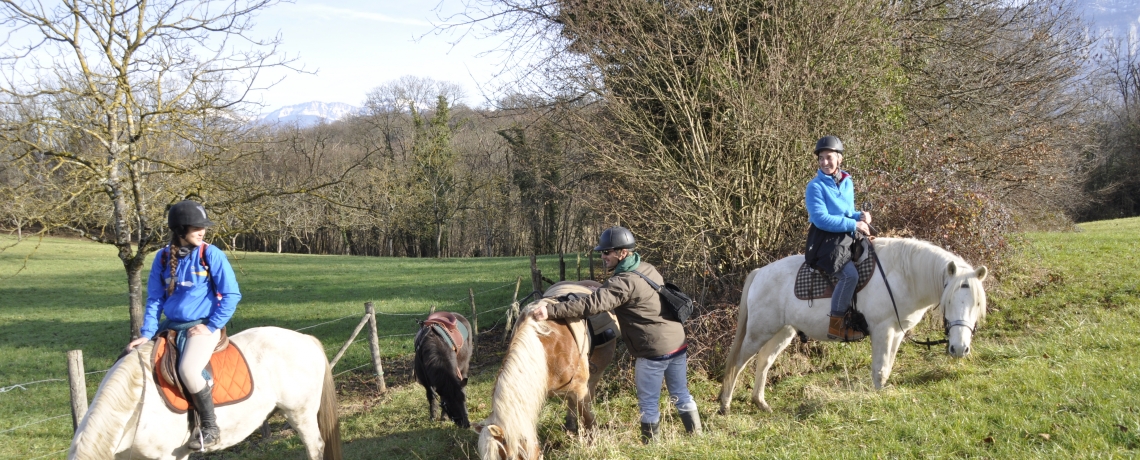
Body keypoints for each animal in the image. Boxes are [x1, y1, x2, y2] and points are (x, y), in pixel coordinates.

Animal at [720, 236, 989, 412]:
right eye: (949, 299)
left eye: (976, 304)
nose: (959, 349)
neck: (901, 277)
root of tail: (759, 272)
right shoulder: (882, 330)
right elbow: (879, 369)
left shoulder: (897, 333)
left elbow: (887, 368)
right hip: (758, 331)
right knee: (738, 362)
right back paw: (725, 404)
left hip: (782, 331)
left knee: (764, 360)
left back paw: (760, 402)